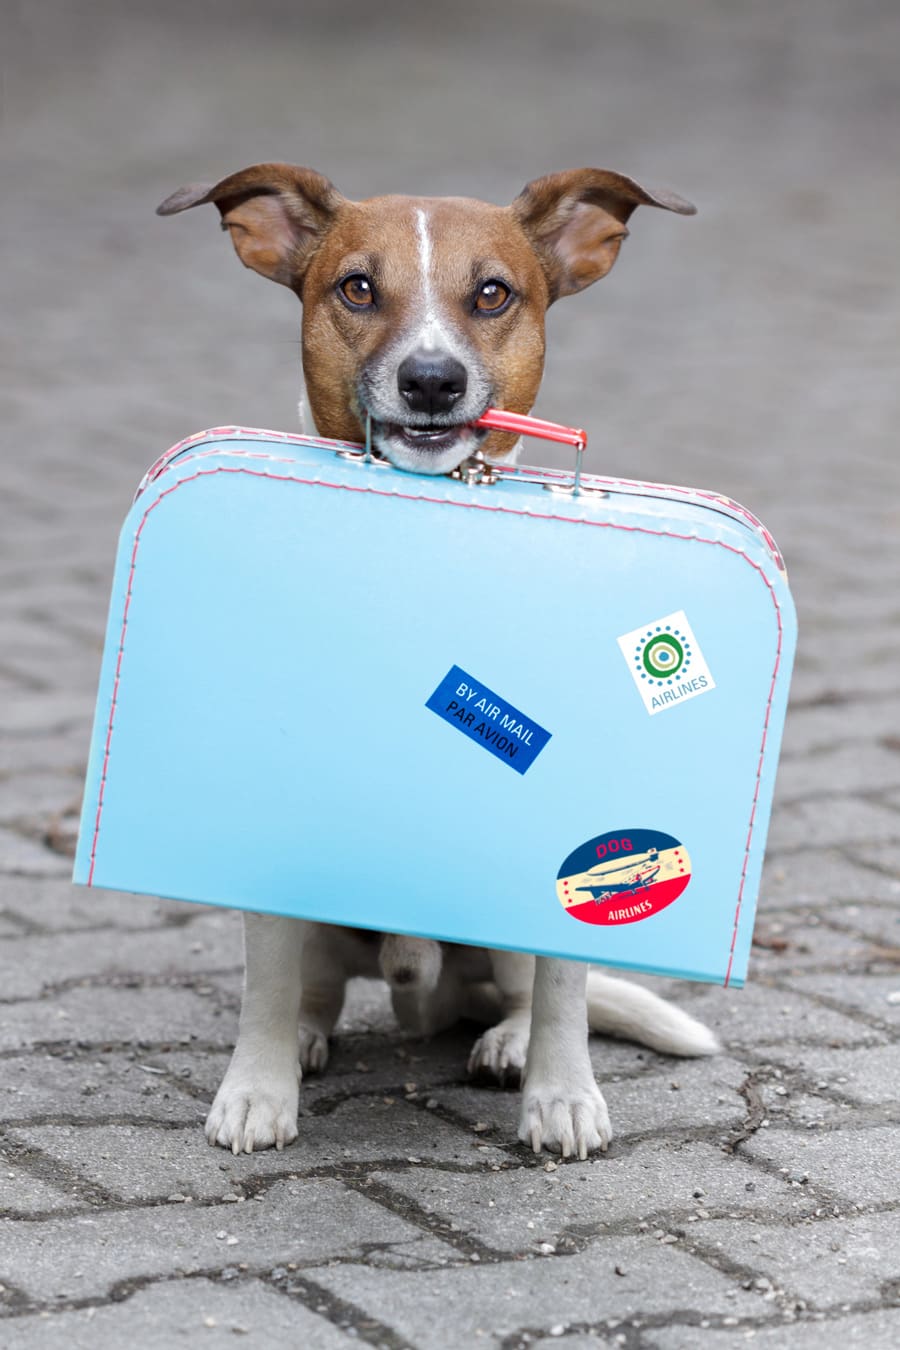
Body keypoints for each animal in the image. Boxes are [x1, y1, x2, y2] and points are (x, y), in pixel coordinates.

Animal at [156, 163, 717, 1155]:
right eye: (356, 288)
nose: (429, 379)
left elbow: (565, 992)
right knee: (314, 987)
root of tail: (434, 998)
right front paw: (256, 1089)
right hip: (329, 931)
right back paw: (309, 1037)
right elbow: (266, 985)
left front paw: (562, 1094)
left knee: (519, 991)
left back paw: (508, 1044)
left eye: (493, 294)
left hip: (496, 951)